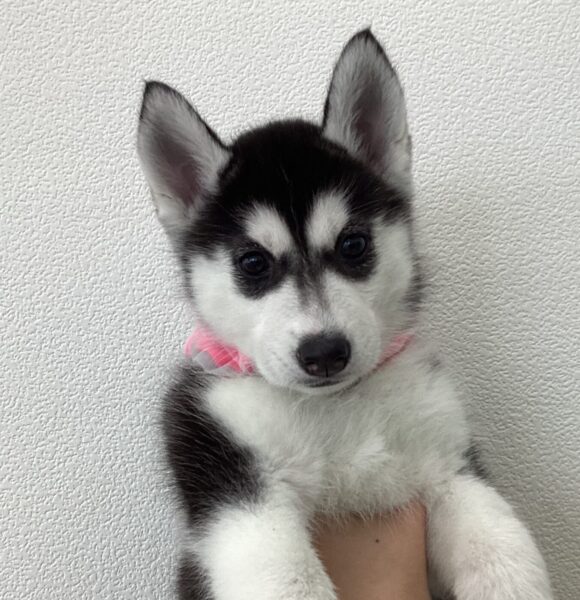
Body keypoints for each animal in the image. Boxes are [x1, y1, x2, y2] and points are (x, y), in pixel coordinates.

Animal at [137, 29, 552, 600]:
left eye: (353, 245)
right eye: (253, 263)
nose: (324, 352)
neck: (339, 407)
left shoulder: (451, 465)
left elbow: (503, 555)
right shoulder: (235, 482)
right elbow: (289, 578)